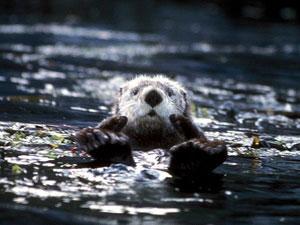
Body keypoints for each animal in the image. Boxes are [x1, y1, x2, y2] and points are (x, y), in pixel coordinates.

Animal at [75, 76, 227, 178]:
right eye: (135, 91)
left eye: (170, 93)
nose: (153, 95)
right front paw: (111, 125)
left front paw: (183, 122)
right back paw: (103, 141)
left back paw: (197, 151)